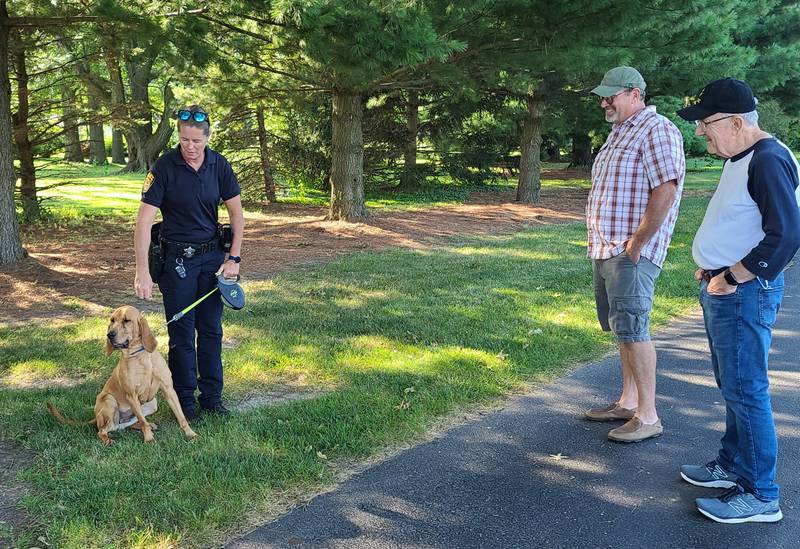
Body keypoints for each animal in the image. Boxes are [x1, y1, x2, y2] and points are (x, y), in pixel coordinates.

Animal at [47, 306, 198, 444]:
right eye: (112, 320)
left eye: (127, 320)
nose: (109, 335)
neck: (140, 356)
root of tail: (96, 417)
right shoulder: (132, 395)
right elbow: (143, 422)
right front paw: (149, 439)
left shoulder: (169, 390)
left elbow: (181, 417)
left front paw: (190, 434)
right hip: (109, 401)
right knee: (103, 430)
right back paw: (108, 440)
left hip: (152, 404)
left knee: (127, 424)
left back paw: (148, 425)